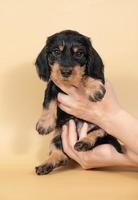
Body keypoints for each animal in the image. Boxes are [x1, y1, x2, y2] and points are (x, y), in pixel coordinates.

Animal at [34, 29, 122, 175]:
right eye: (56, 52)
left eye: (79, 53)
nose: (65, 72)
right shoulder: (52, 85)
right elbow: (48, 103)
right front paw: (44, 124)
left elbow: (85, 75)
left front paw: (94, 89)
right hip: (59, 133)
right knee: (59, 152)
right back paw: (47, 163)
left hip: (103, 126)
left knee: (98, 132)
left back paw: (84, 142)